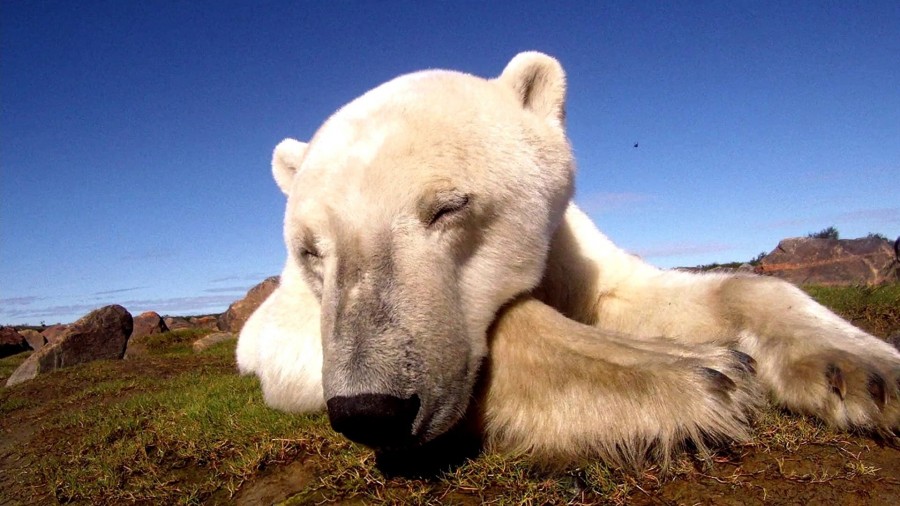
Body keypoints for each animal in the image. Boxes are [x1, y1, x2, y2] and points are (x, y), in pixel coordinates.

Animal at [237, 51, 900, 470]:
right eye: (309, 250)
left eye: (449, 206)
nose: (370, 410)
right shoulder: (283, 322)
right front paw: (695, 373)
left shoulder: (570, 245)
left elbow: (648, 292)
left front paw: (867, 374)